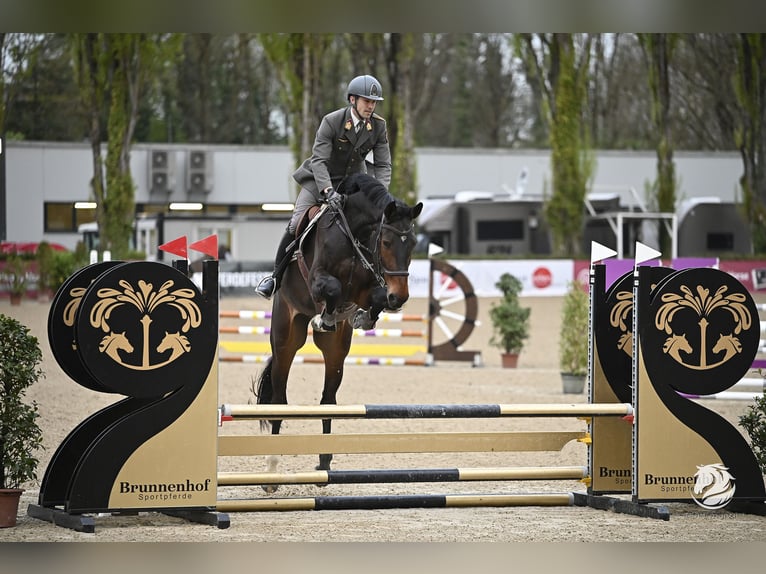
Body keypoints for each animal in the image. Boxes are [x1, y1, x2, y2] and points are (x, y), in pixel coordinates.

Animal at [258, 173, 426, 480]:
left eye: (412, 244)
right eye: (386, 242)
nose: (400, 298)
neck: (355, 236)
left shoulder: (369, 287)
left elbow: (376, 297)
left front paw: (362, 317)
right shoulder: (318, 280)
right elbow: (333, 287)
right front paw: (325, 316)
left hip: (335, 350)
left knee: (328, 399)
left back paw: (324, 461)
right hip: (286, 337)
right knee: (278, 398)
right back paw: (272, 469)